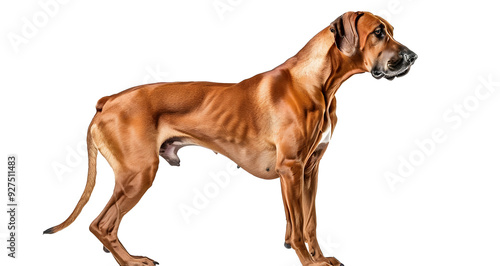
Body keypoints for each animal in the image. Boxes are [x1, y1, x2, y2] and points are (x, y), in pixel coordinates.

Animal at [45, 10, 416, 266]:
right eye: (379, 32)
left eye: (391, 31)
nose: (412, 57)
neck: (318, 82)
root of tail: (108, 100)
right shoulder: (292, 169)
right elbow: (298, 226)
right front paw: (309, 262)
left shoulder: (309, 170)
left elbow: (308, 222)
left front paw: (320, 258)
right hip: (139, 174)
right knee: (101, 225)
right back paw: (132, 260)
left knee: (105, 227)